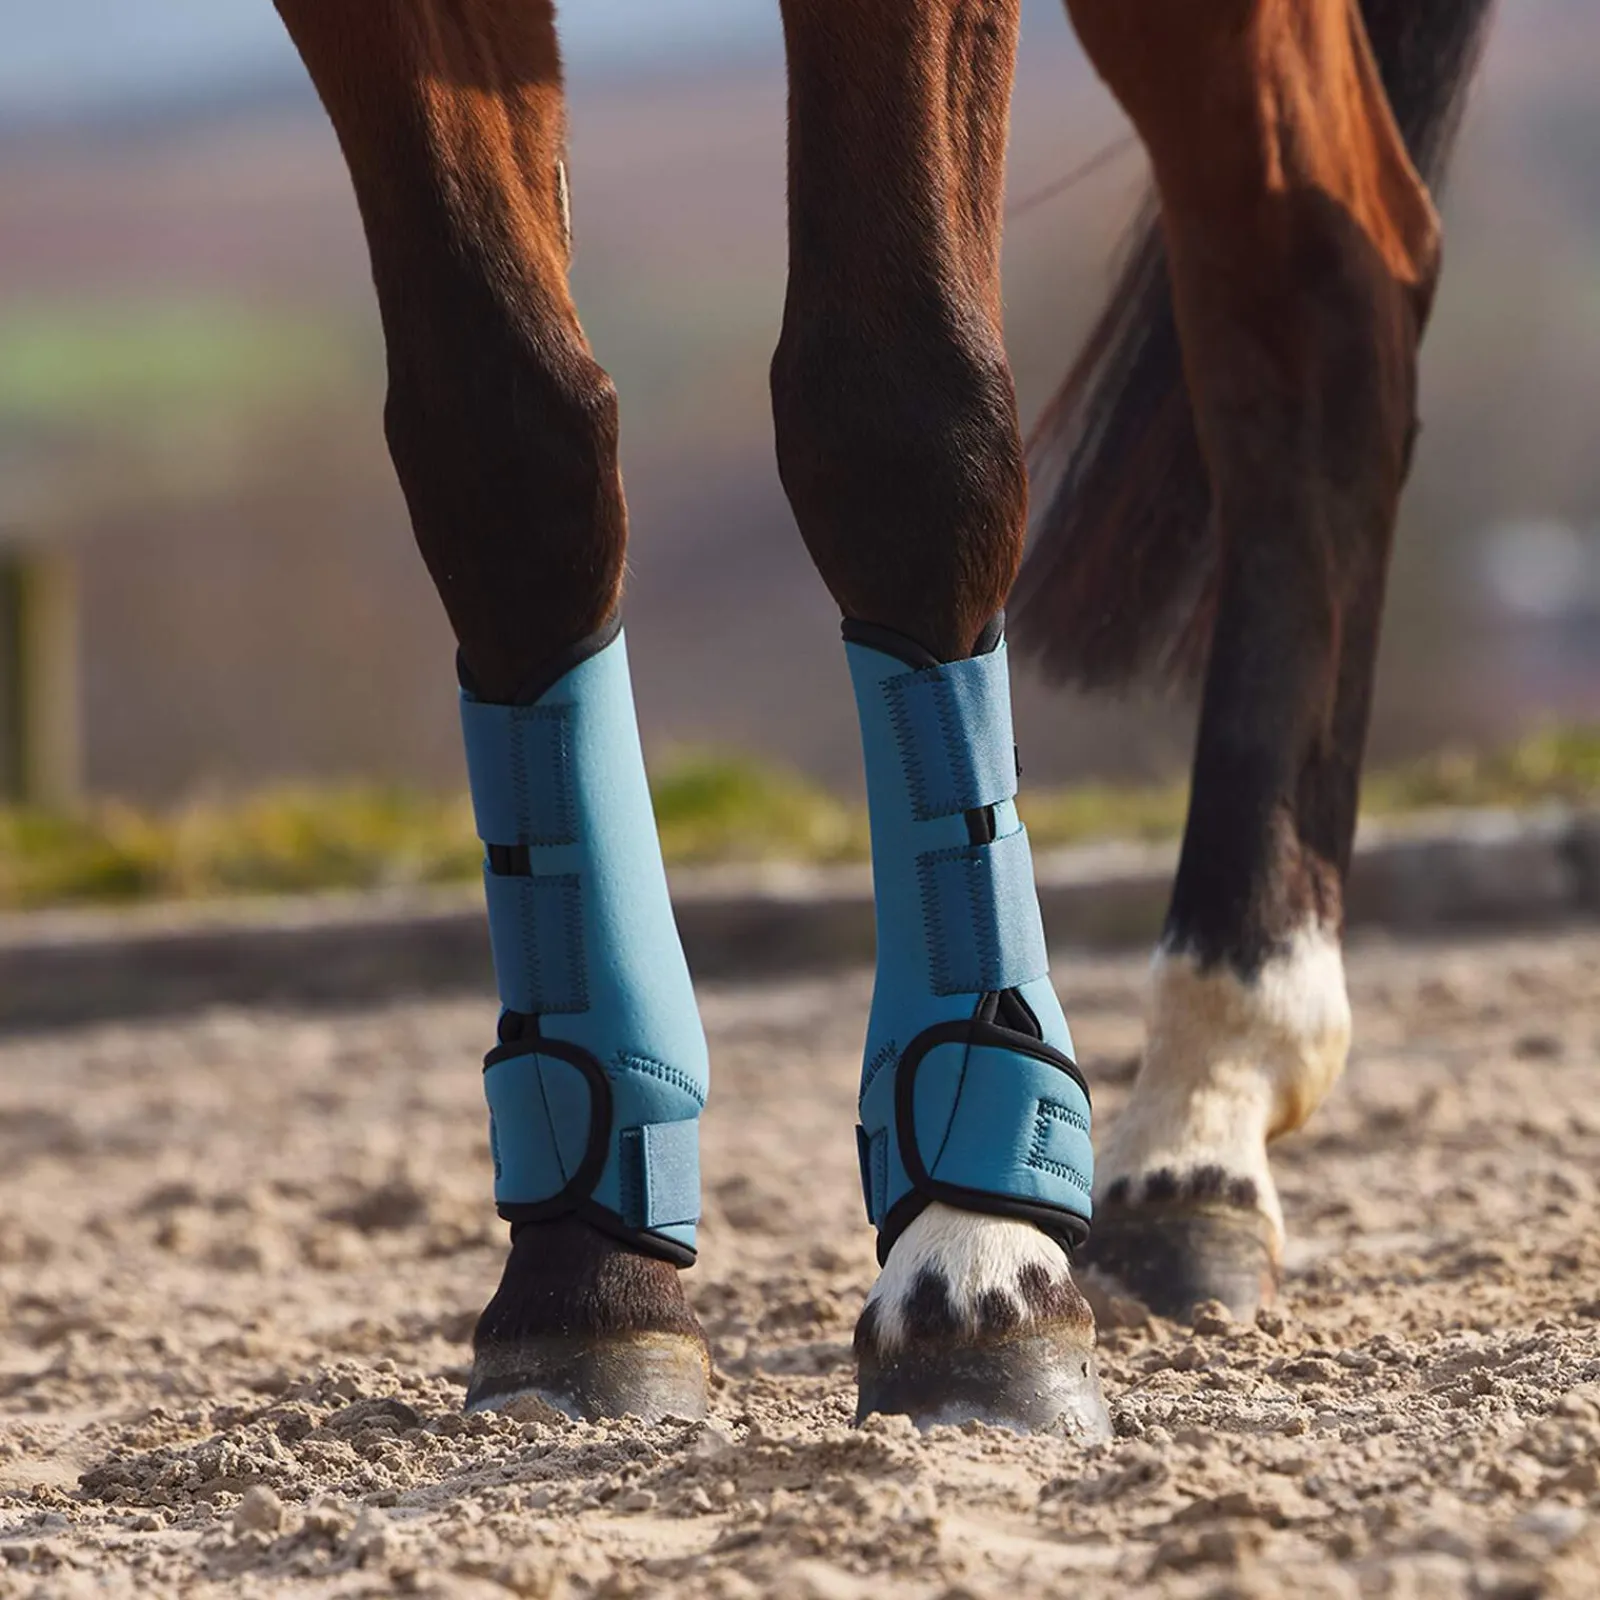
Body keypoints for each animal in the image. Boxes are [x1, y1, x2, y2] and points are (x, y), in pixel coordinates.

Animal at [268, 0, 1497, 1436]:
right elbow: (507, 456)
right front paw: (585, 1276)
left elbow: (899, 420)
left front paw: (973, 1261)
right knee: (1319, 279)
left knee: (1317, 285)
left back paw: (1215, 1089)